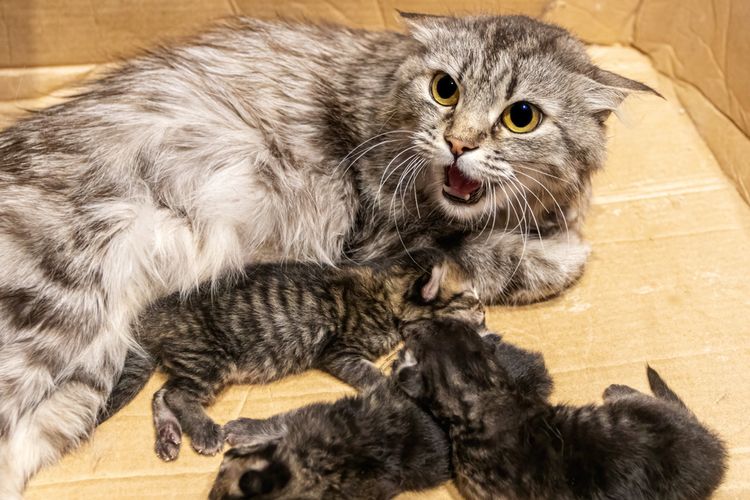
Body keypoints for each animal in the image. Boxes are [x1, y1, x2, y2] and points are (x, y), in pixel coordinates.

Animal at [100, 250, 484, 460]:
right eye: (470, 300)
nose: (484, 316)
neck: (387, 292)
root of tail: (150, 314)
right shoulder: (339, 353)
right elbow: (373, 376)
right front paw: (393, 385)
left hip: (193, 362)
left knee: (161, 394)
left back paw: (168, 436)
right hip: (209, 359)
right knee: (178, 394)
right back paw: (206, 432)